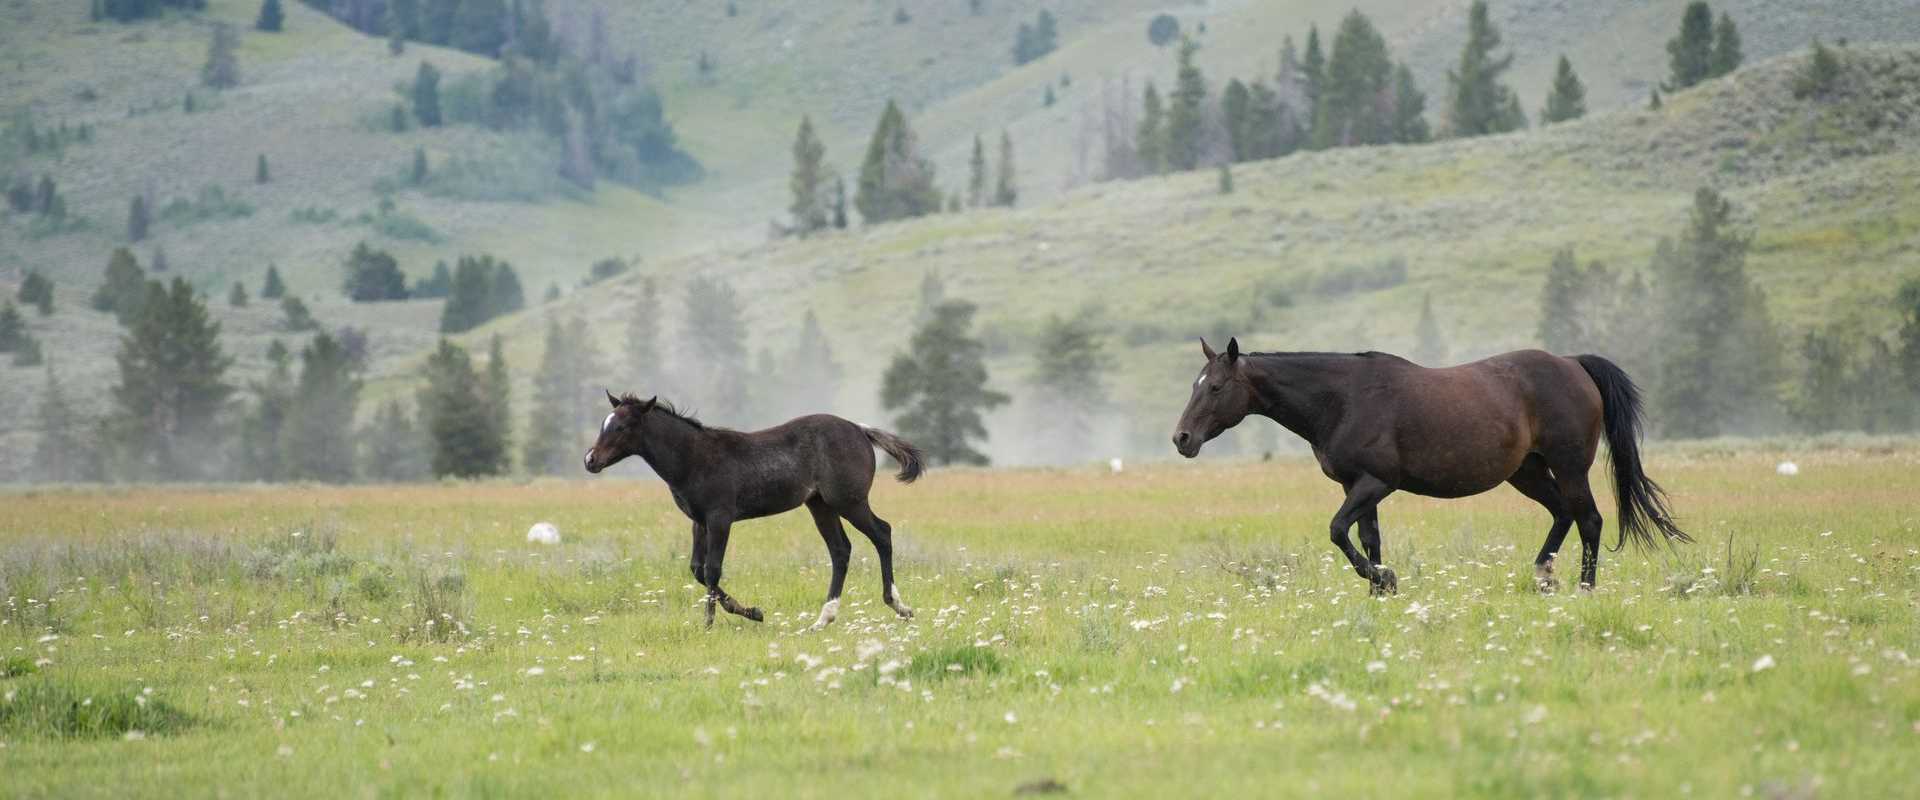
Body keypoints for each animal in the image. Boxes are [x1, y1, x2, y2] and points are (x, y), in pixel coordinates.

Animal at [584, 392, 925, 628]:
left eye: (623, 427)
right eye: (604, 424)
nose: (590, 460)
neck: (693, 457)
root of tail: (859, 429)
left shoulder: (720, 518)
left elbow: (712, 569)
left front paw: (709, 623)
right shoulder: (699, 522)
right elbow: (697, 569)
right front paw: (753, 612)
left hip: (849, 501)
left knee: (882, 533)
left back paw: (898, 606)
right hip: (820, 505)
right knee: (841, 549)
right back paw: (823, 619)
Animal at [1172, 338, 1689, 595]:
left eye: (1215, 387)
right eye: (1196, 383)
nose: (1182, 439)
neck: (1342, 399)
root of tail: (1572, 364)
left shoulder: (1376, 483)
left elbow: (1338, 531)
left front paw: (1384, 579)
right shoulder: (1357, 486)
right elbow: (1368, 539)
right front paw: (1380, 588)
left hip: (1569, 466)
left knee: (1589, 519)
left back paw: (1584, 587)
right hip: (1526, 471)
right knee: (1563, 515)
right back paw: (1543, 577)